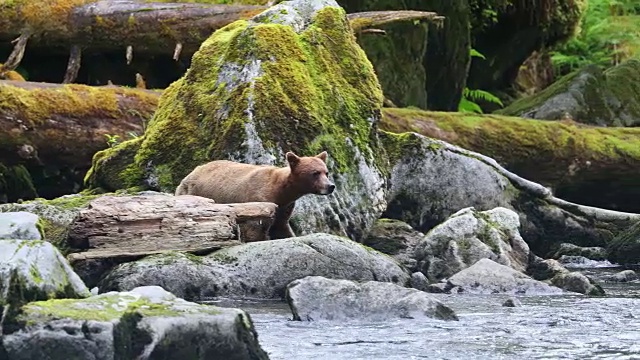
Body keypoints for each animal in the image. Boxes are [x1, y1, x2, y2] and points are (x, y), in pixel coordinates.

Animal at [175, 151, 336, 239]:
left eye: (326, 172)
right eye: (315, 173)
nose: (330, 186)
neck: (280, 192)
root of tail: (190, 173)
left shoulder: (285, 208)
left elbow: (281, 228)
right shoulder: (258, 200)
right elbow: (255, 229)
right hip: (191, 191)